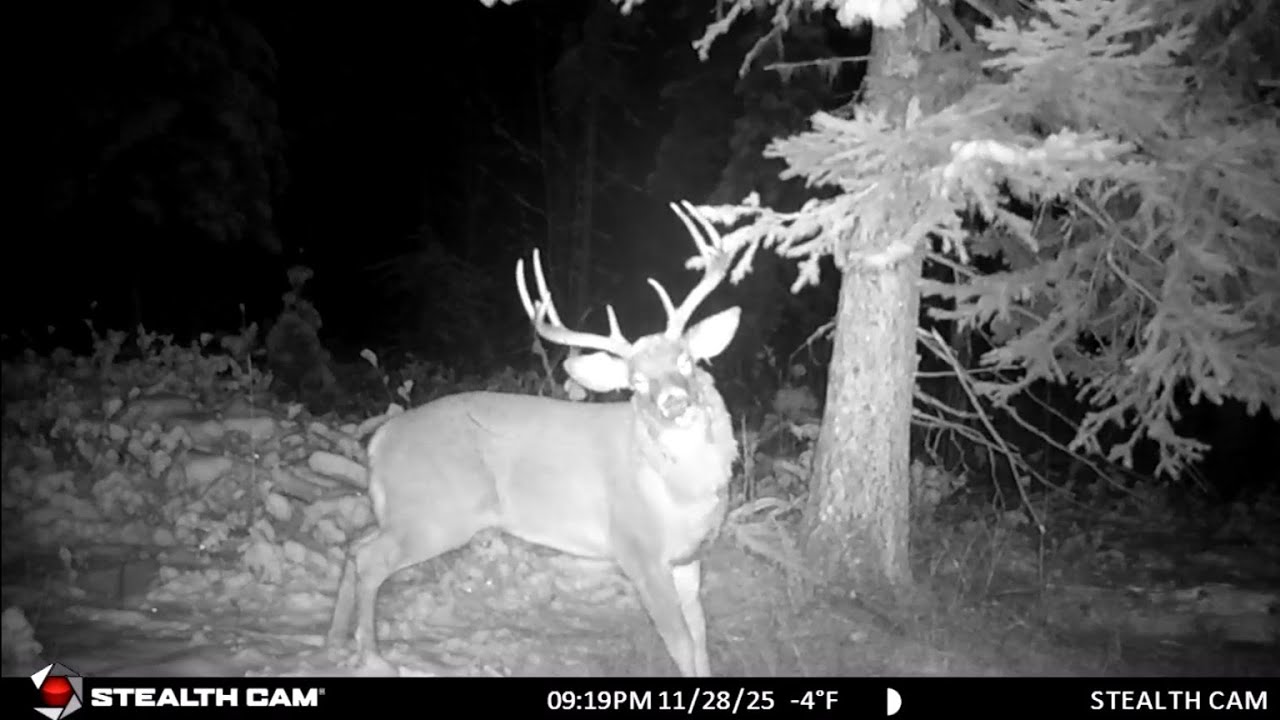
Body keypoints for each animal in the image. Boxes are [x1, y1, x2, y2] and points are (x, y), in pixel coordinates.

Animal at [325, 200, 743, 677]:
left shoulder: (688, 558)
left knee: (355, 545)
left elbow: (701, 640)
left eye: (688, 361)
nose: (675, 403)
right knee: (370, 559)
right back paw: (371, 655)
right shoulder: (637, 549)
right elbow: (681, 644)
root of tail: (381, 439)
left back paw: (335, 638)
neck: (680, 493)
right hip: (434, 515)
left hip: (402, 512)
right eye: (635, 382)